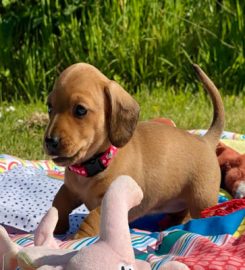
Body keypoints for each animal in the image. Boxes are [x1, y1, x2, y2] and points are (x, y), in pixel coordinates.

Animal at [43, 62, 224, 237]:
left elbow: (92, 219)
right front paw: (54, 226)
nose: (50, 141)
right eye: (49, 108)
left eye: (80, 110)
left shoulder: (111, 201)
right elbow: (58, 203)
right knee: (182, 213)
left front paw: (78, 238)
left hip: (202, 201)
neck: (96, 164)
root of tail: (205, 140)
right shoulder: (70, 190)